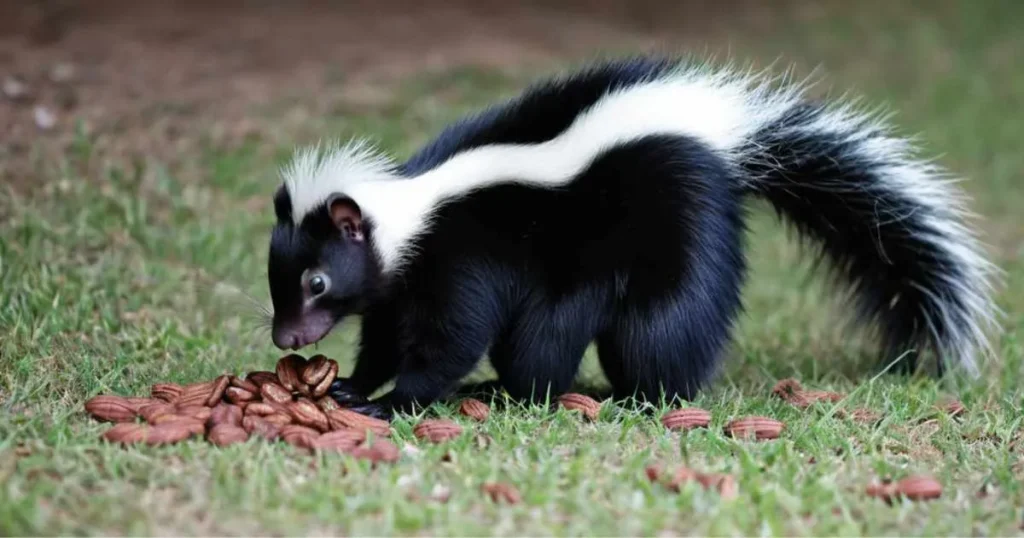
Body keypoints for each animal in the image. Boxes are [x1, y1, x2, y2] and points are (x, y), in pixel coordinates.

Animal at [262, 56, 991, 418]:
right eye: (277, 282)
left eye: (317, 281)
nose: (286, 338)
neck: (416, 208)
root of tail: (731, 139)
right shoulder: (399, 281)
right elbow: (385, 334)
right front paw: (354, 386)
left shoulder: (460, 261)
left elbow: (451, 340)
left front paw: (394, 402)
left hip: (679, 235)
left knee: (628, 332)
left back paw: (610, 395)